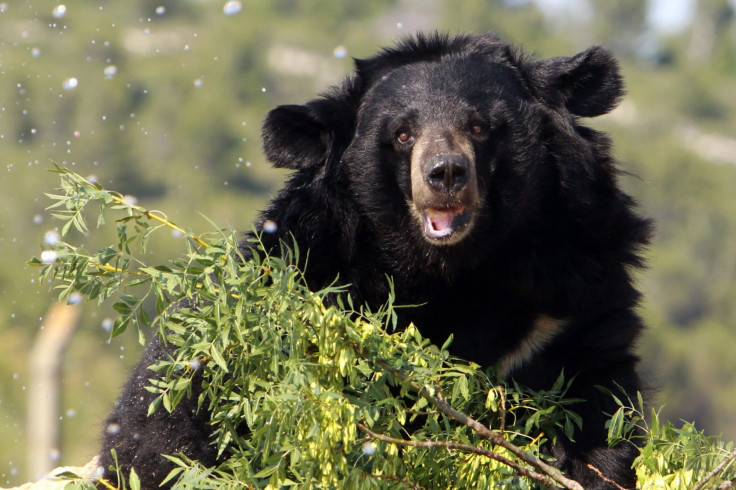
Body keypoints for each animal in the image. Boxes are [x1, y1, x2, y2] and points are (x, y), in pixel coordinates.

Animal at [100, 32, 652, 488]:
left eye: (479, 126)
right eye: (403, 134)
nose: (445, 173)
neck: (453, 270)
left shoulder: (570, 299)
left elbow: (600, 415)